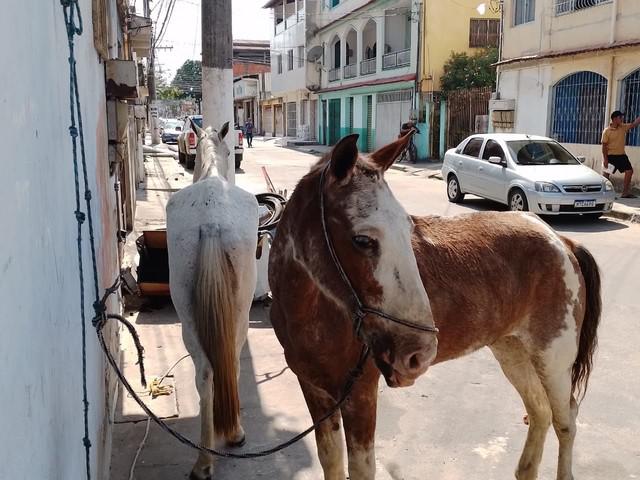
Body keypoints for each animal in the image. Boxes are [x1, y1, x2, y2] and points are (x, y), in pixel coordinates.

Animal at [166, 121, 258, 480]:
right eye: (230, 150)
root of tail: (211, 220)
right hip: (240, 313)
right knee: (228, 361)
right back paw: (234, 434)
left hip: (186, 314)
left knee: (205, 374)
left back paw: (204, 461)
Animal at [268, 132, 600, 480]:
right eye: (362, 240)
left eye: (408, 229)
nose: (420, 353)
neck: (313, 313)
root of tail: (560, 240)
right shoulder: (315, 391)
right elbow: (330, 460)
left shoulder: (359, 394)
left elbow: (361, 469)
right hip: (512, 350)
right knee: (540, 411)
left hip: (554, 360)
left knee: (565, 421)